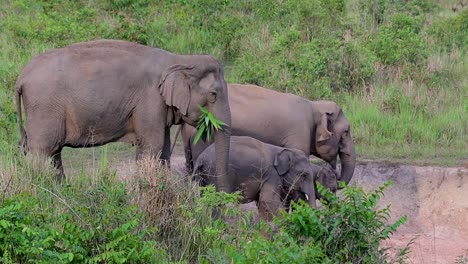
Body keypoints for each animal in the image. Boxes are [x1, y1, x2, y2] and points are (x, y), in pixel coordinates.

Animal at [15, 40, 231, 191]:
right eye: (213, 95)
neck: (180, 60)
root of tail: (22, 76)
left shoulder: (157, 107)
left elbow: (164, 148)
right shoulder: (150, 100)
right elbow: (152, 146)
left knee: (54, 152)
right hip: (44, 107)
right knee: (42, 151)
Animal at [192, 136, 338, 221]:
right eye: (303, 175)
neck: (282, 151)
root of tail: (200, 159)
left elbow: (263, 202)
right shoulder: (271, 174)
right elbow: (268, 201)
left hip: (204, 177)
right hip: (215, 173)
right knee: (215, 200)